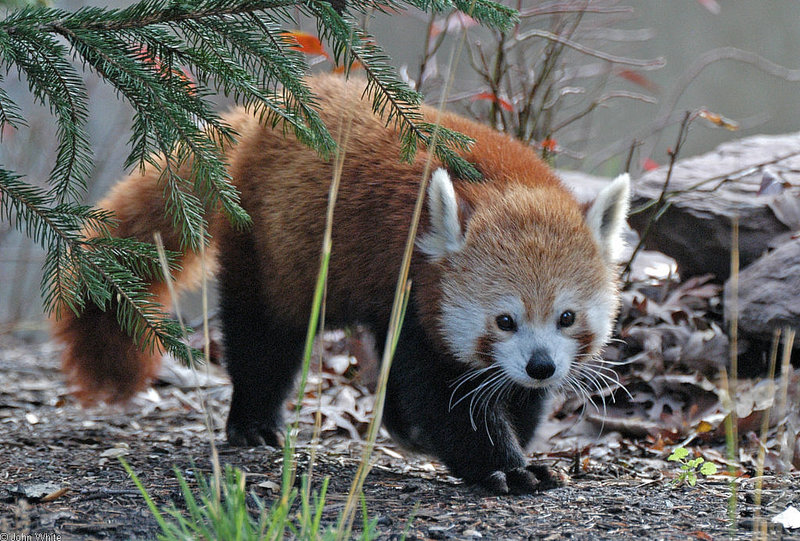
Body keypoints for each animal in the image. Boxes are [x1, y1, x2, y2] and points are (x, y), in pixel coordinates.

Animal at [54, 75, 632, 494]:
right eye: (504, 320)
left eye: (566, 317)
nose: (541, 366)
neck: (503, 184)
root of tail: (258, 118)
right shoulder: (416, 287)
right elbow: (446, 395)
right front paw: (505, 467)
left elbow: (499, 391)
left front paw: (519, 427)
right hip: (268, 244)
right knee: (264, 336)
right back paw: (254, 421)